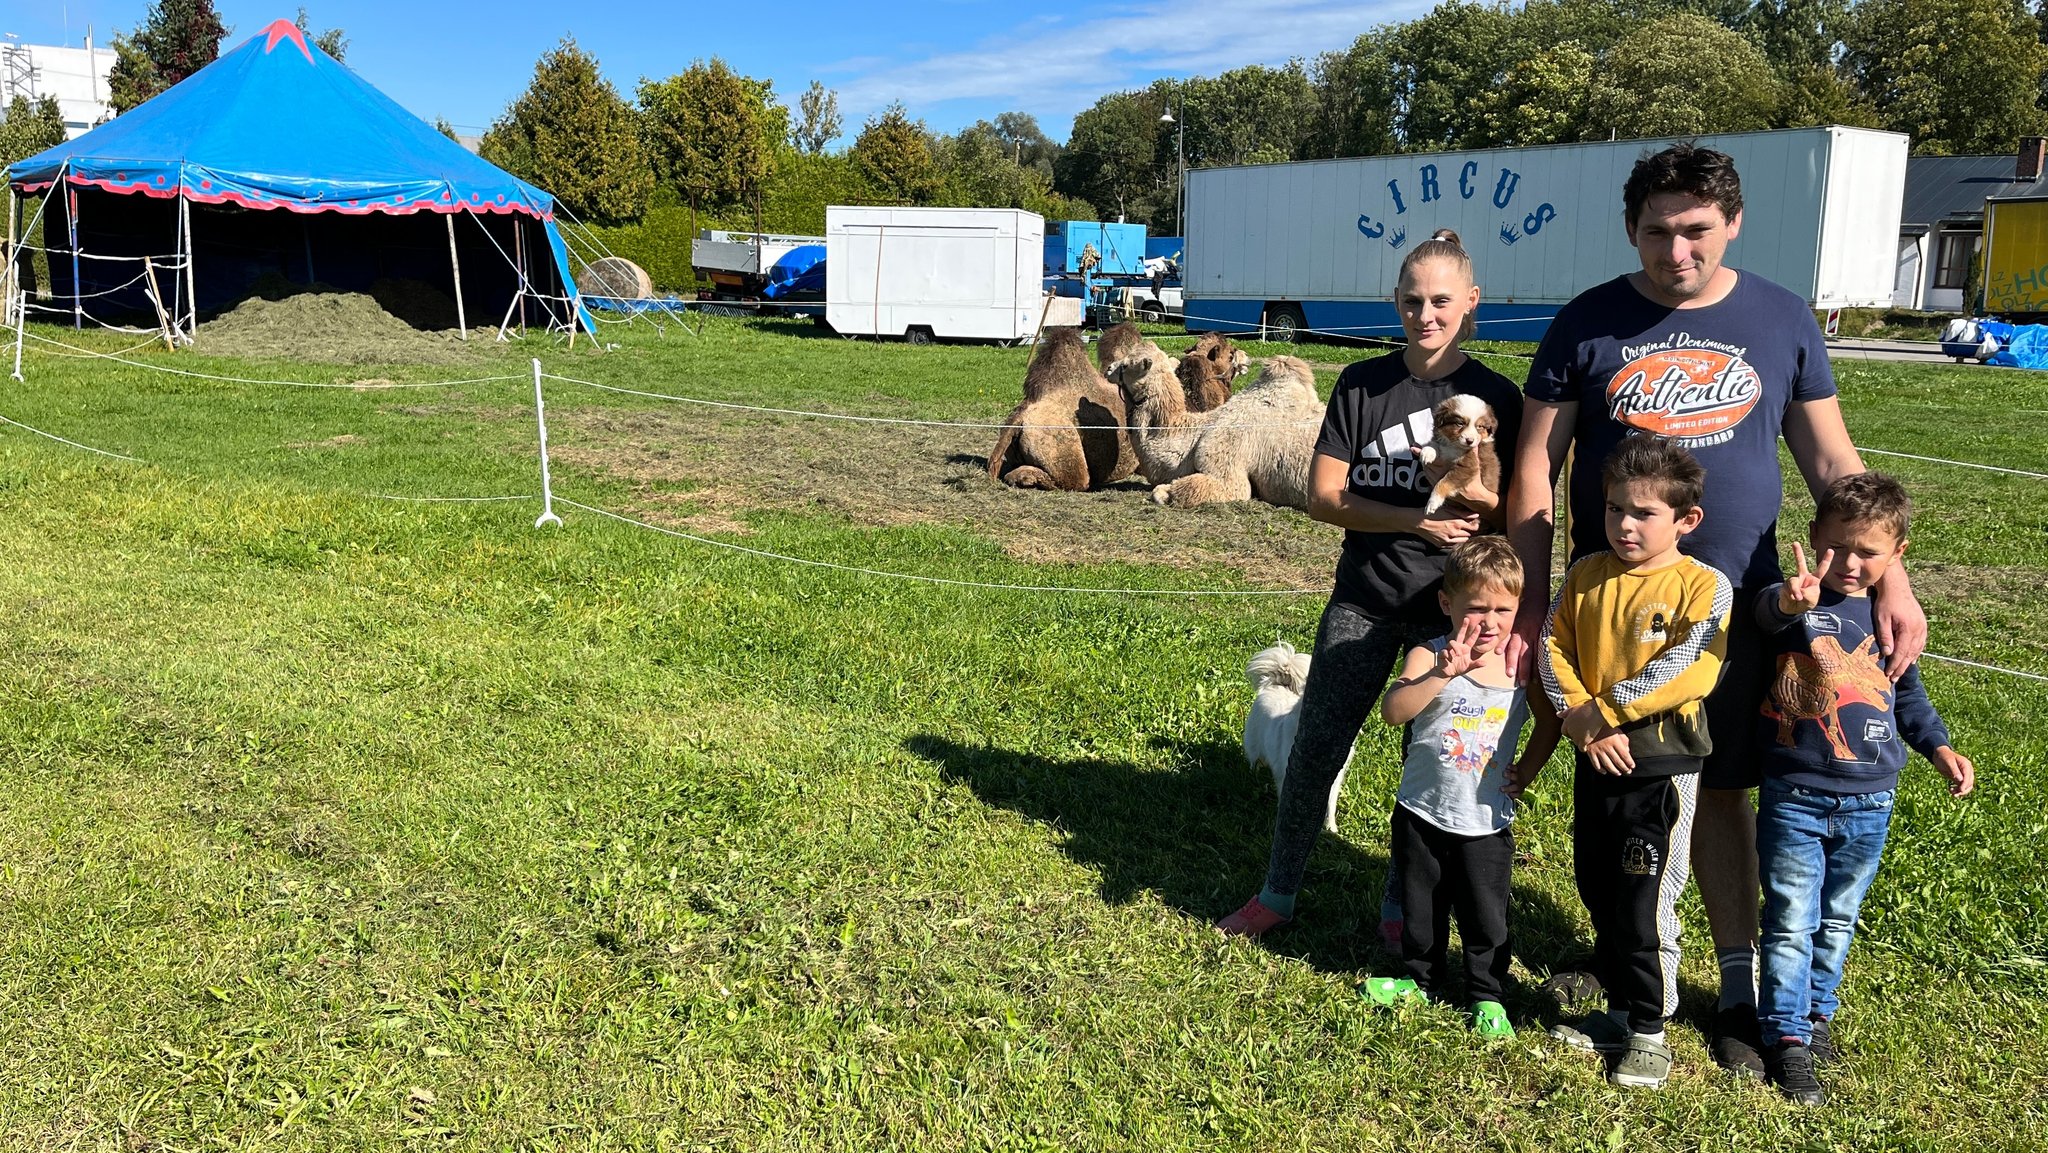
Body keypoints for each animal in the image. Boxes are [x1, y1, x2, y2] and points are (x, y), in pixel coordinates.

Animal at [1236, 638, 1351, 839]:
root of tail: (1275, 685)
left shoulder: (1334, 781)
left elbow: (1330, 806)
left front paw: (1331, 828)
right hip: (1254, 747)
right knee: (1254, 762)